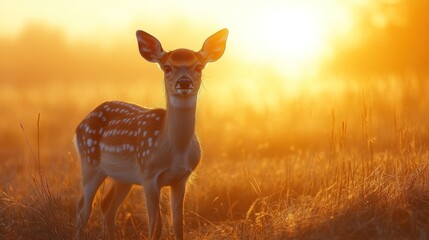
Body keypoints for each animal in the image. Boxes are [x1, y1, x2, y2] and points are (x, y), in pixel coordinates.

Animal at [74, 29, 227, 239]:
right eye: (167, 67)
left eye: (199, 66)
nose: (184, 82)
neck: (174, 150)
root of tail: (79, 125)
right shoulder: (148, 175)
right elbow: (156, 225)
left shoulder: (181, 178)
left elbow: (178, 224)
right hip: (89, 162)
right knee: (83, 208)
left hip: (122, 177)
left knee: (107, 206)